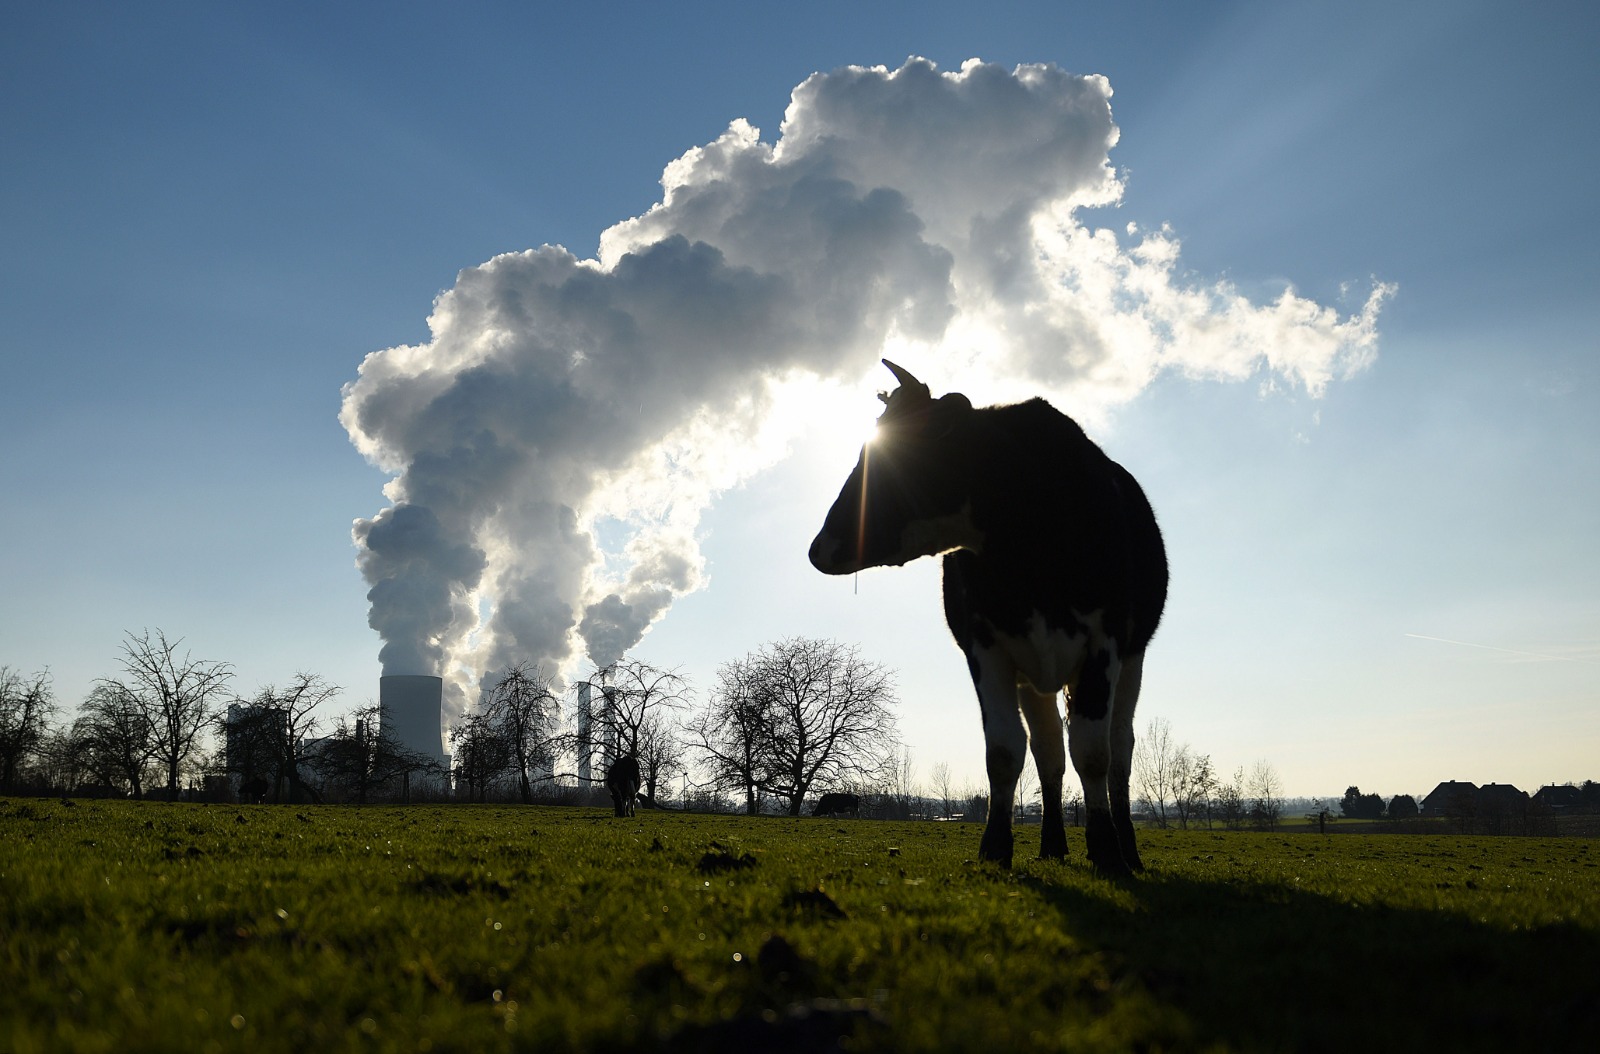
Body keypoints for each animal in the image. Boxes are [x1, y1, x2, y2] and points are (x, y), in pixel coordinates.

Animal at [812, 363, 1164, 876]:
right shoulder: (986, 647)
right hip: (1035, 676)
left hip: (1130, 663)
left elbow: (1093, 753)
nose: (819, 548)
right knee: (1048, 753)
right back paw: (1052, 845)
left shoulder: (1106, 643)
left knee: (1118, 752)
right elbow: (1004, 751)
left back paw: (1128, 850)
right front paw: (996, 846)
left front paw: (1105, 850)